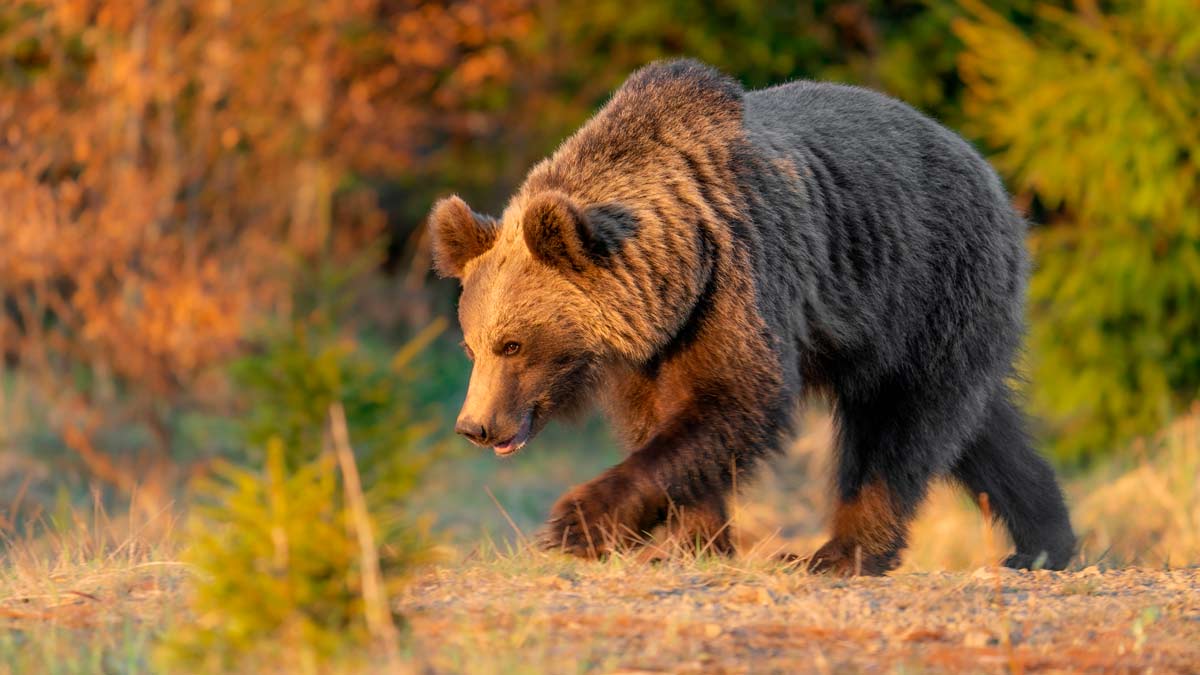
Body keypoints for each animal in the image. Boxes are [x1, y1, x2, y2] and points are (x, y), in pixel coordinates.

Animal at [427, 59, 1075, 571]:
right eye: (472, 345)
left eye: (512, 344)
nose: (476, 426)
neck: (677, 267)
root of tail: (990, 172)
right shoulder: (655, 345)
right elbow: (662, 422)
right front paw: (693, 541)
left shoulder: (739, 278)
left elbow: (738, 398)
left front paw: (577, 522)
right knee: (981, 428)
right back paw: (1045, 541)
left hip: (925, 286)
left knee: (897, 428)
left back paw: (841, 552)